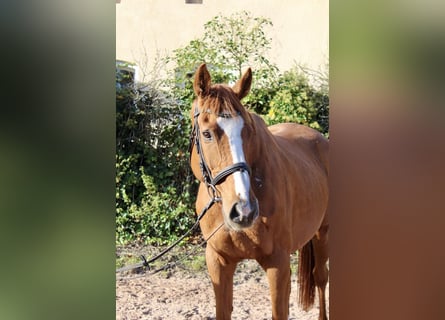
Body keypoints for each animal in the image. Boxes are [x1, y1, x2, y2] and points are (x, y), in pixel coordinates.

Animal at [187, 63, 326, 318]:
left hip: (324, 233)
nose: (244, 211)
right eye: (206, 133)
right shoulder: (218, 261)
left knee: (321, 279)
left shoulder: (277, 263)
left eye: (249, 131)